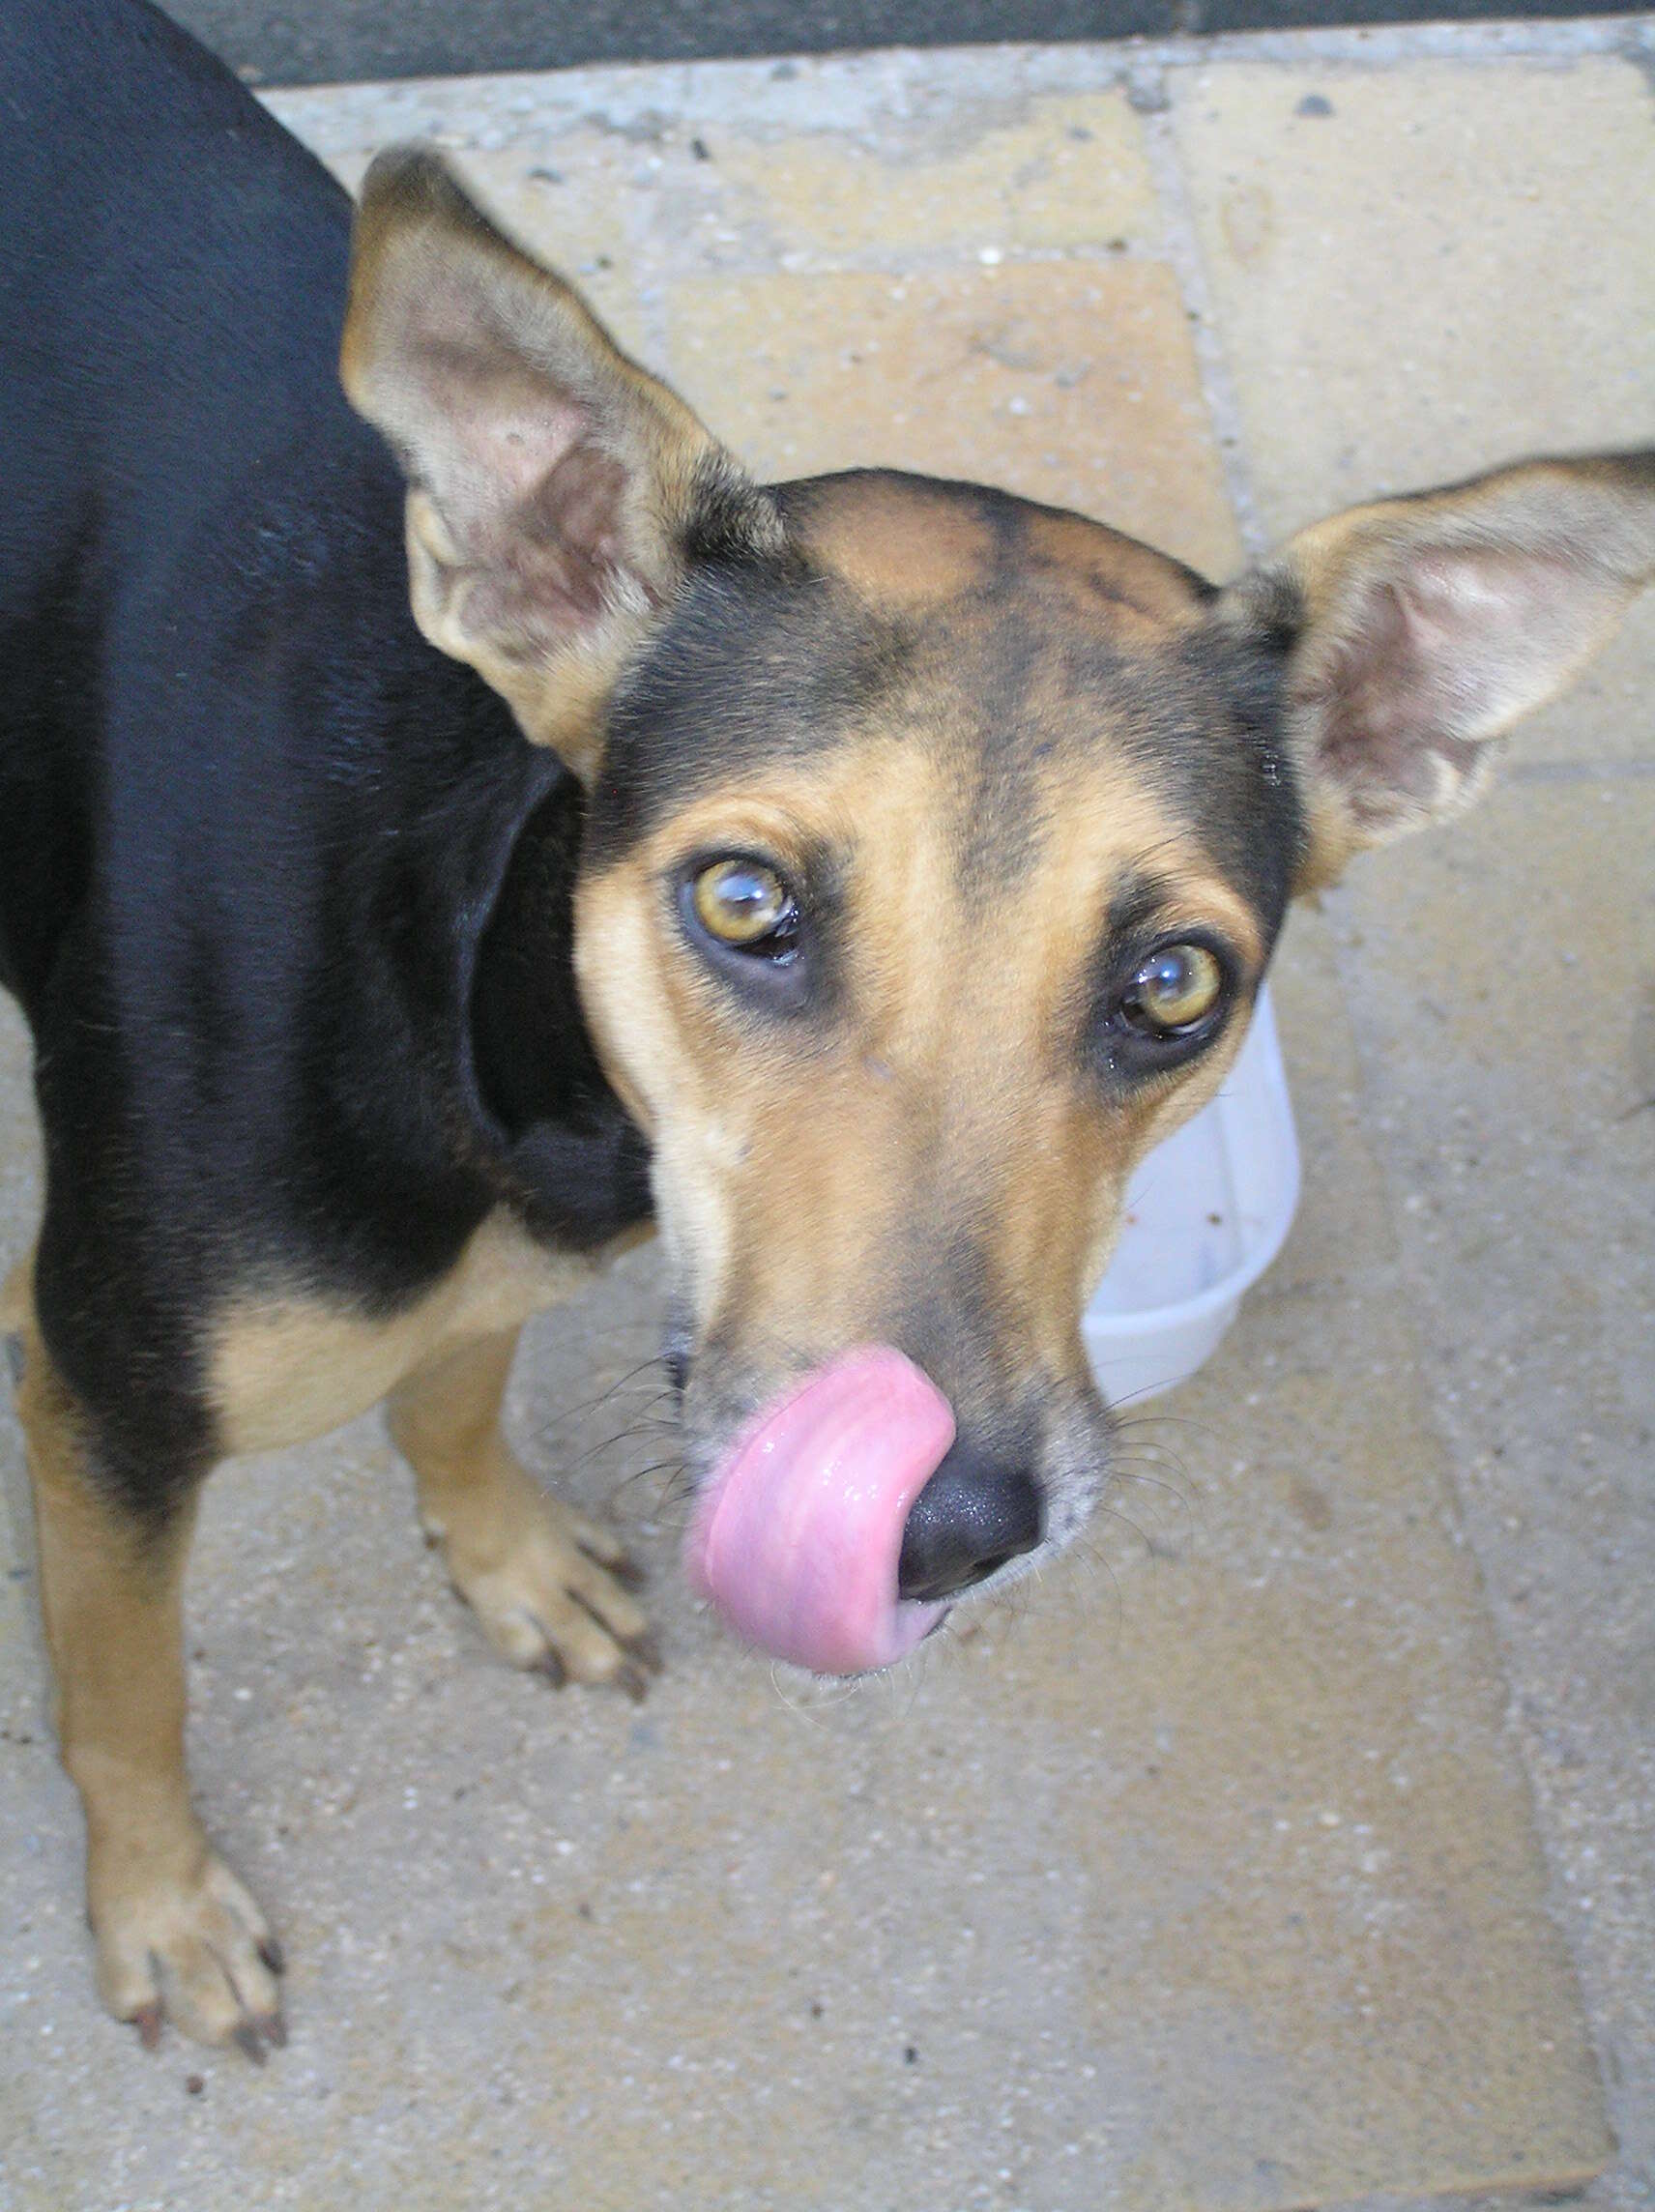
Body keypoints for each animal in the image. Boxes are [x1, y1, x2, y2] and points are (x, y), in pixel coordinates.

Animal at [3, 0, 1654, 2052]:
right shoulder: (101, 1381)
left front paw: (503, 1552)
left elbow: (450, 1390)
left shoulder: (523, 1256)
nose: (943, 1529)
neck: (477, 992)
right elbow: (123, 1683)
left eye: (1172, 984)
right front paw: (157, 1908)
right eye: (741, 903)